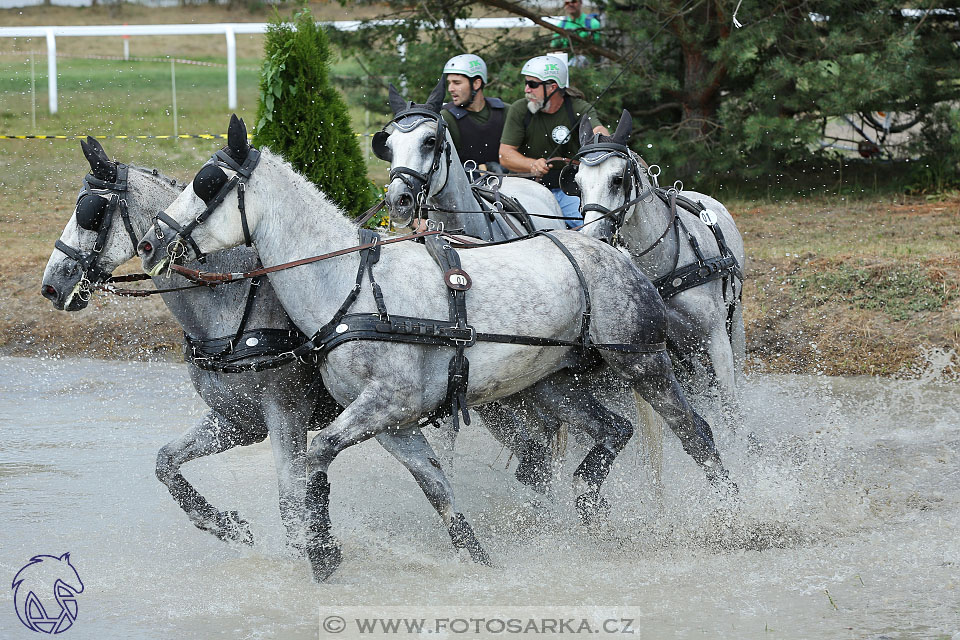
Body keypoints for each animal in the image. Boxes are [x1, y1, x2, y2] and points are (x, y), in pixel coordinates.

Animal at [40, 139, 484, 556]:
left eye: (90, 211)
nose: (51, 285)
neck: (231, 304)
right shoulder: (237, 420)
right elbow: (166, 462)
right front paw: (223, 524)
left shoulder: (285, 413)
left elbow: (291, 504)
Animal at [137, 114, 736, 580]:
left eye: (208, 183)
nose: (150, 241)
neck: (352, 286)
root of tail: (614, 251)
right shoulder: (393, 423)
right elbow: (437, 489)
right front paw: (478, 559)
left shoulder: (383, 405)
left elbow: (315, 455)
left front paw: (323, 550)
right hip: (550, 385)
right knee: (610, 431)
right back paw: (589, 507)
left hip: (643, 361)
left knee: (699, 433)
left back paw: (736, 515)